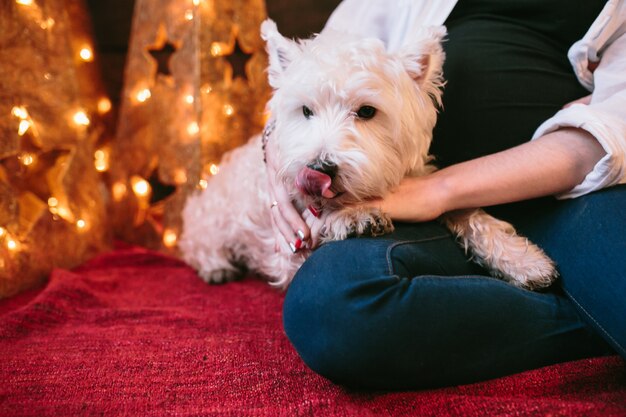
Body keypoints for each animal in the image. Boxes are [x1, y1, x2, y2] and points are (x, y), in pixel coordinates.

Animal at [178, 18, 552, 290]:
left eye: (367, 111)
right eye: (306, 110)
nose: (319, 169)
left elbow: (468, 212)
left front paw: (522, 260)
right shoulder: (287, 253)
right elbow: (319, 223)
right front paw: (352, 217)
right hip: (211, 215)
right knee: (196, 239)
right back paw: (216, 266)